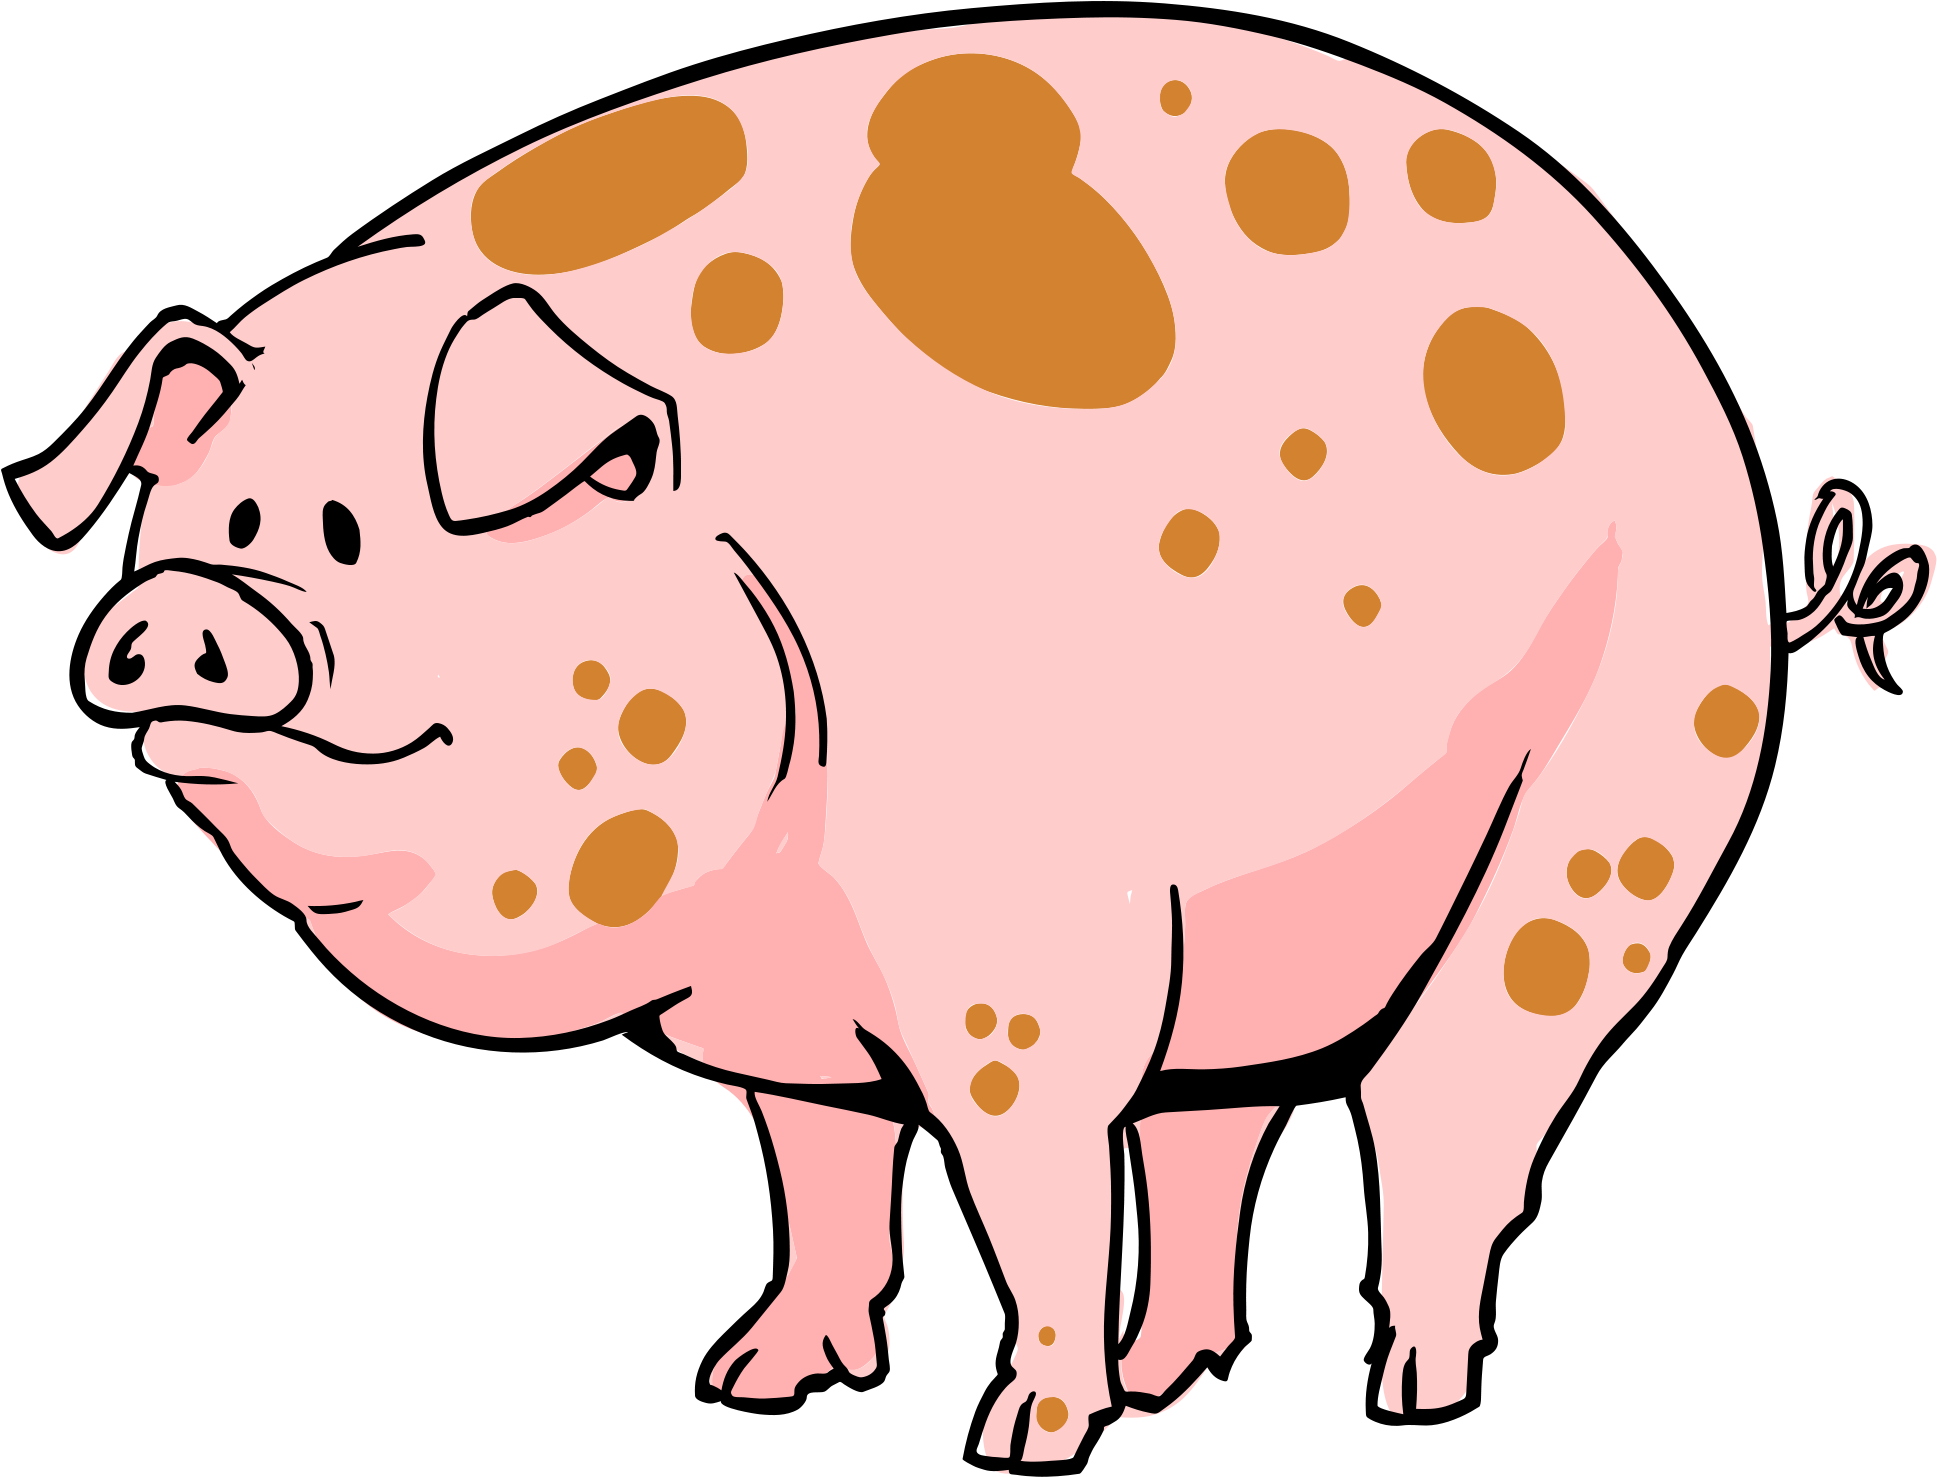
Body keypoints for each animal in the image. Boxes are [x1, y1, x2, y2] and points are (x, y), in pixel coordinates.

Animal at [16, 18, 1769, 1461]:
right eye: (216, 521)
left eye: (351, 532)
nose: (177, 607)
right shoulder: (766, 1015)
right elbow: (824, 1168)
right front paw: (756, 1380)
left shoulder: (1027, 953)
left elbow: (1029, 1175)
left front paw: (1030, 1437)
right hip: (1268, 932)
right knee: (1220, 1114)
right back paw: (1171, 1377)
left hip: (1626, 783)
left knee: (1452, 1088)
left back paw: (1414, 1389)